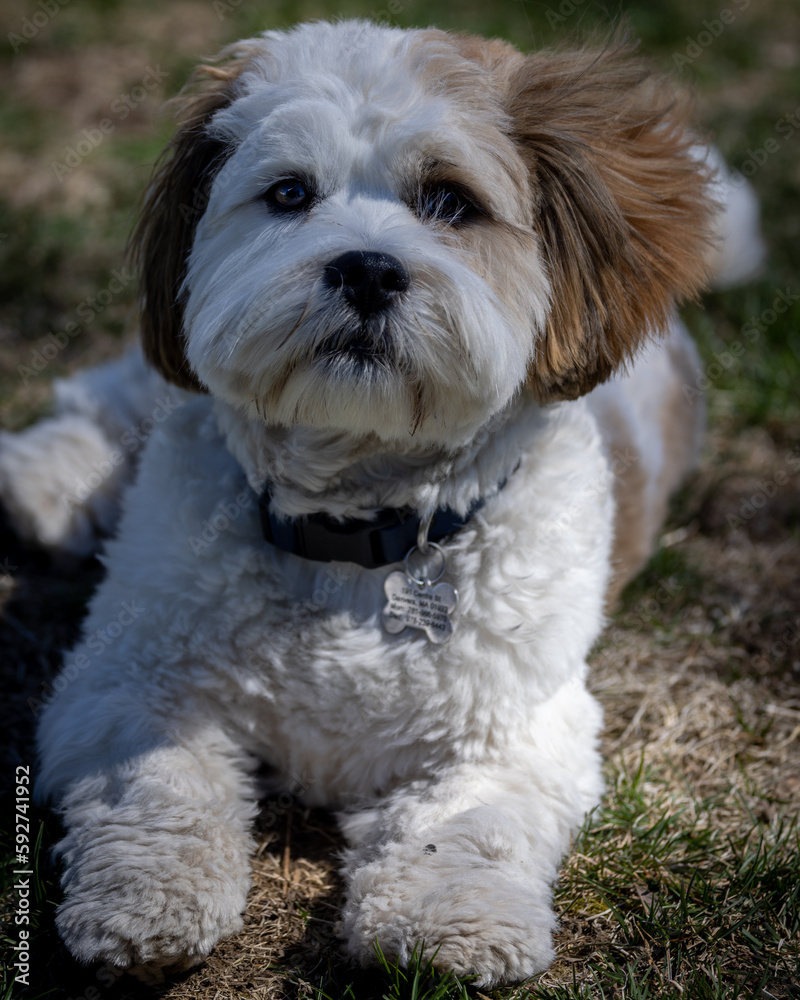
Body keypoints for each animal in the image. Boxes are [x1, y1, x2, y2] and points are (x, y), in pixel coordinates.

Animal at [4, 19, 764, 988]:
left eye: (451, 202)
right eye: (289, 193)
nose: (367, 268)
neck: (355, 530)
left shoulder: (514, 730)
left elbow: (464, 827)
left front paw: (451, 926)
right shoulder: (128, 679)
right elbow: (159, 782)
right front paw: (148, 903)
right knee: (107, 396)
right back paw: (44, 479)